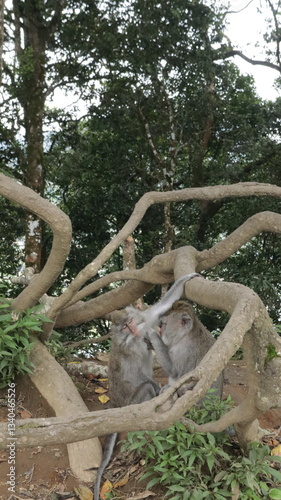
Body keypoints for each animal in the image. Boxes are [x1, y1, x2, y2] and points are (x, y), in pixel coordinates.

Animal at [94, 274, 199, 500]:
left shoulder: (145, 320)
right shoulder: (129, 349)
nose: (133, 329)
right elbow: (136, 376)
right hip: (132, 402)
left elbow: (163, 305)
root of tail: (116, 404)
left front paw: (187, 277)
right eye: (125, 327)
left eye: (130, 322)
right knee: (145, 388)